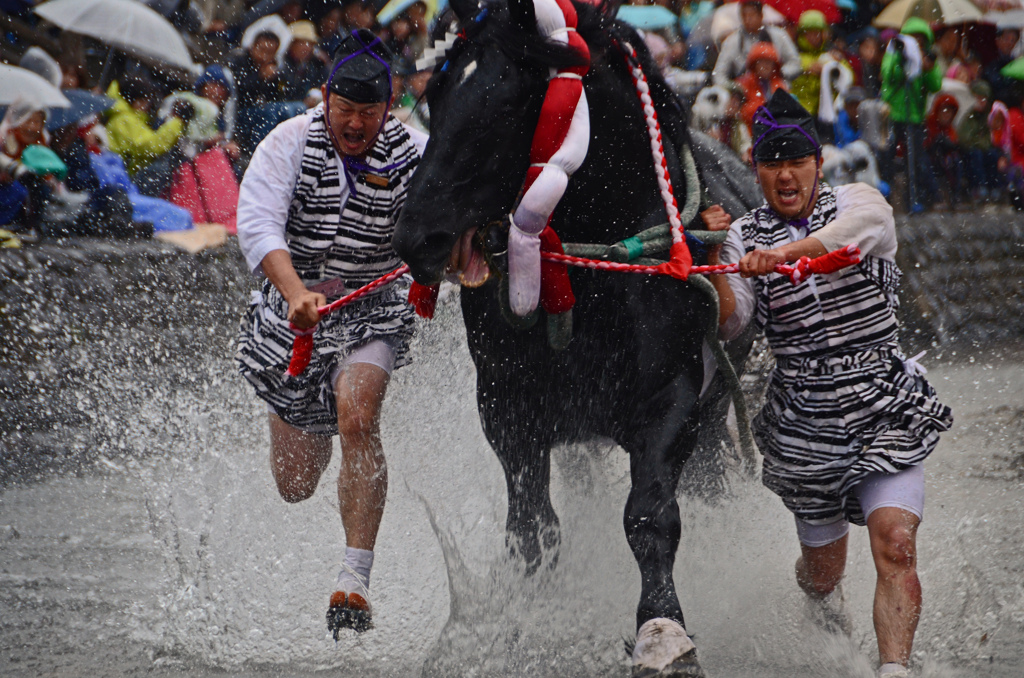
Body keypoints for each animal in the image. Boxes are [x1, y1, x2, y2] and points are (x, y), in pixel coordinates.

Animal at [391, 0, 761, 675]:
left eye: (509, 102)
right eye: (435, 95)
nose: (417, 237)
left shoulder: (670, 400)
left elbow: (650, 516)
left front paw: (663, 630)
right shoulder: (509, 407)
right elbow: (531, 530)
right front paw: (524, 626)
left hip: (715, 406)